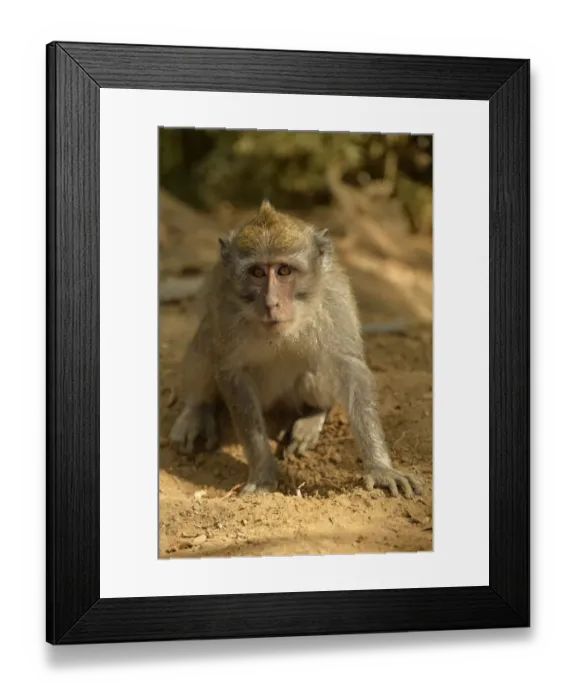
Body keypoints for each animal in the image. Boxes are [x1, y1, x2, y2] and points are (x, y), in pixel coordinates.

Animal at [169, 200, 421, 499]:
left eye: (284, 271)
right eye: (257, 273)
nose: (271, 303)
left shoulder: (333, 297)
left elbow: (350, 367)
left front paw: (381, 469)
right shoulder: (225, 304)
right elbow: (231, 372)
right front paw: (263, 471)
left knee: (317, 372)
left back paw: (313, 416)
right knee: (206, 335)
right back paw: (198, 410)